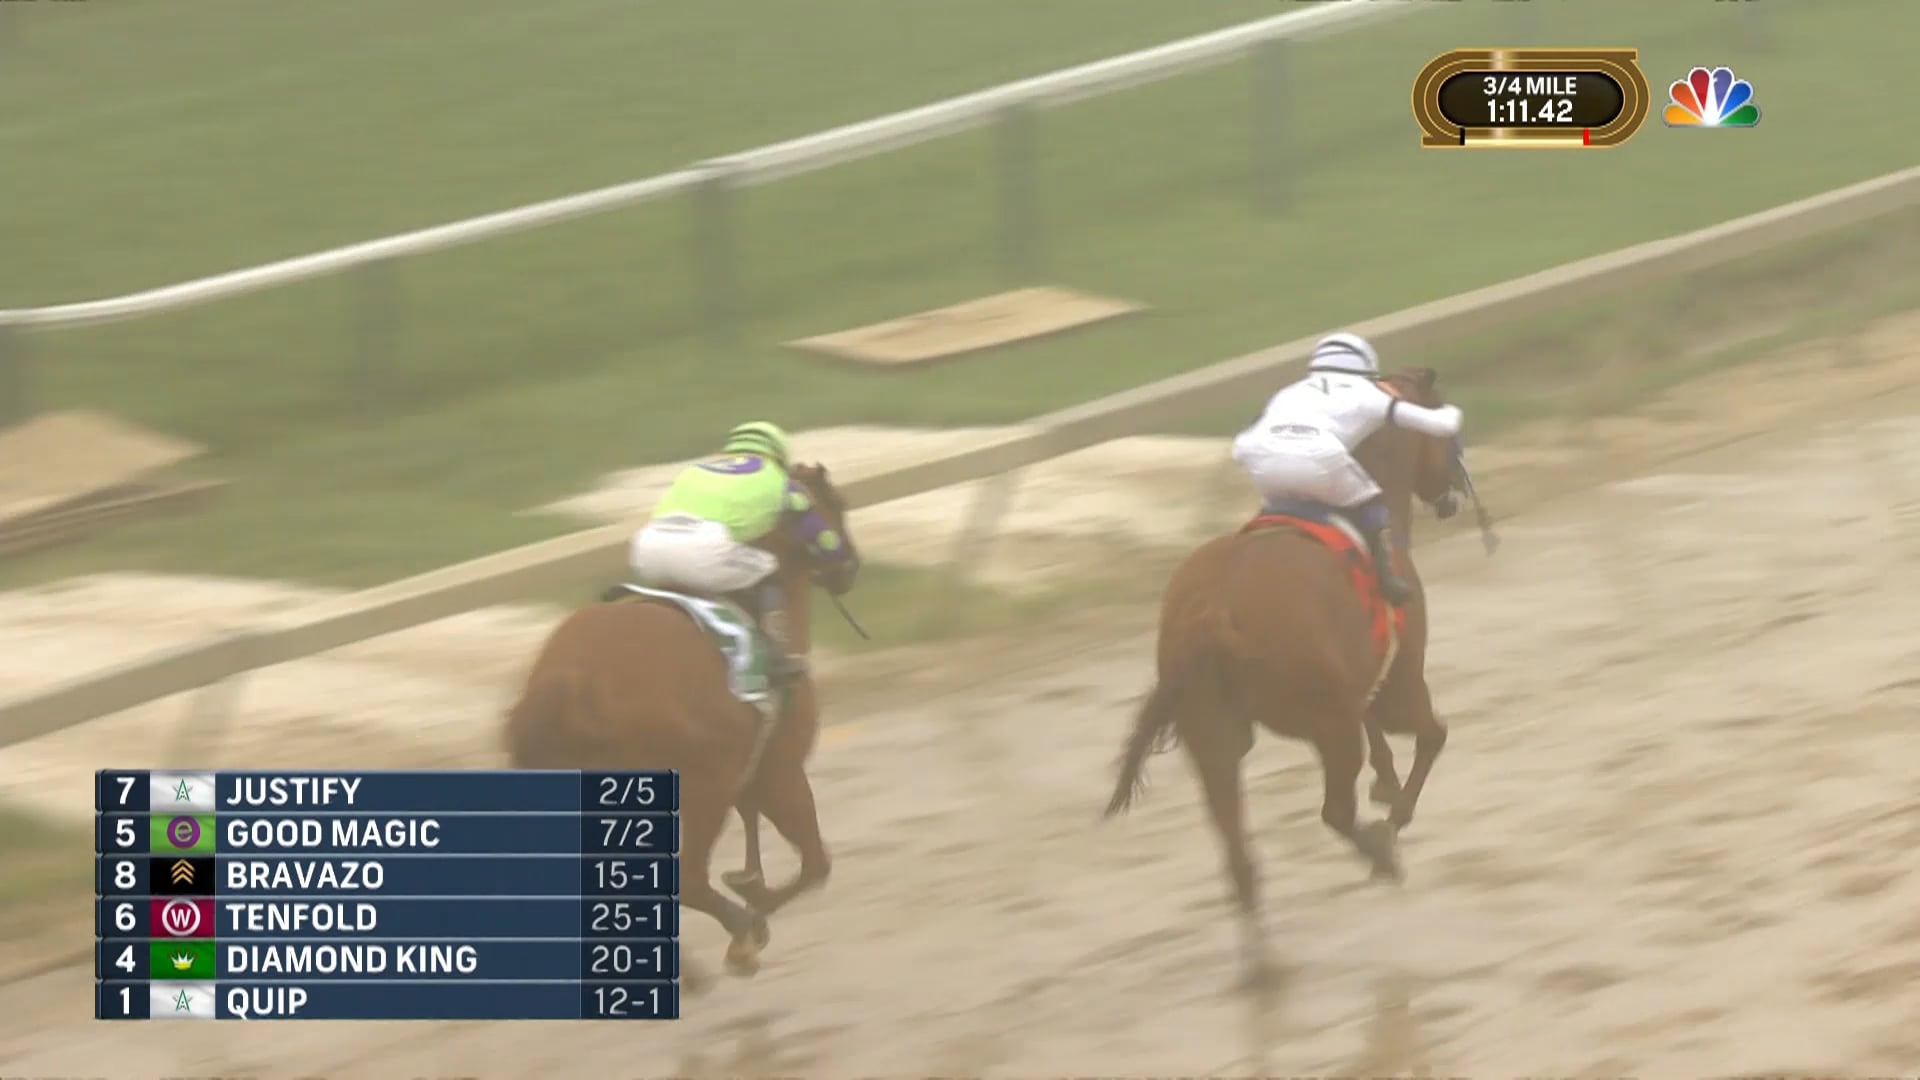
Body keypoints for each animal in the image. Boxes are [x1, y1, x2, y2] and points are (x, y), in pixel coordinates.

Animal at [504, 462, 861, 978]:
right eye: (837, 505)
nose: (850, 566)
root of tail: (570, 684)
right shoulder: (779, 771)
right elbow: (815, 864)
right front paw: (751, 923)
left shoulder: (750, 777)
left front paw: (749, 889)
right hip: (700, 789)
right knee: (689, 878)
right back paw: (733, 938)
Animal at [1103, 367, 1463, 986]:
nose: (1453, 495)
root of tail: (1210, 613)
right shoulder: (1398, 681)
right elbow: (1431, 736)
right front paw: (1393, 816)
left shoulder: (1360, 685)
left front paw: (1386, 788)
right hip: (1321, 726)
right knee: (1334, 812)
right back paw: (1380, 855)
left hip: (1213, 739)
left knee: (1237, 850)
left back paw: (1261, 961)